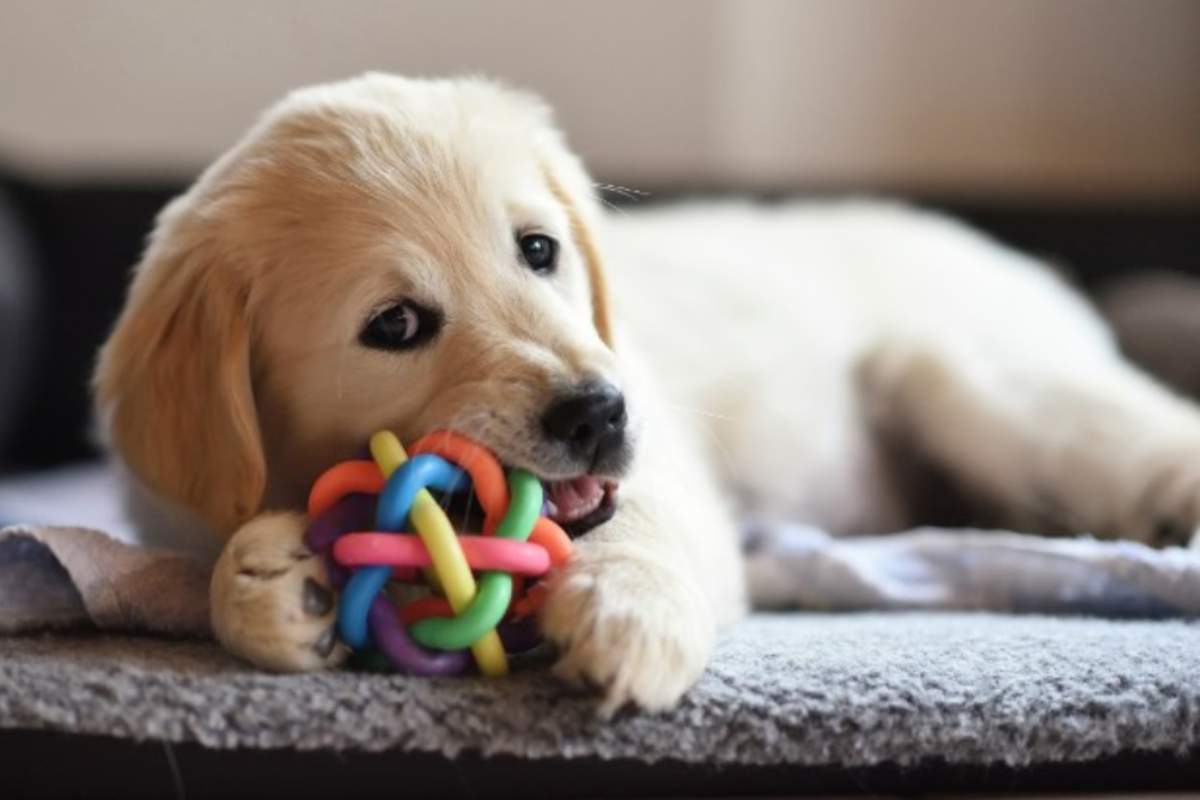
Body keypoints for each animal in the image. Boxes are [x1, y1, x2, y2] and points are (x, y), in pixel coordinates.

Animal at [98, 73, 1200, 714]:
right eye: (395, 326)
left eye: (539, 249)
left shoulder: (667, 465)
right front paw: (271, 581)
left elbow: (637, 525)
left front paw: (628, 613)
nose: (598, 411)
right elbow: (214, 566)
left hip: (966, 380)